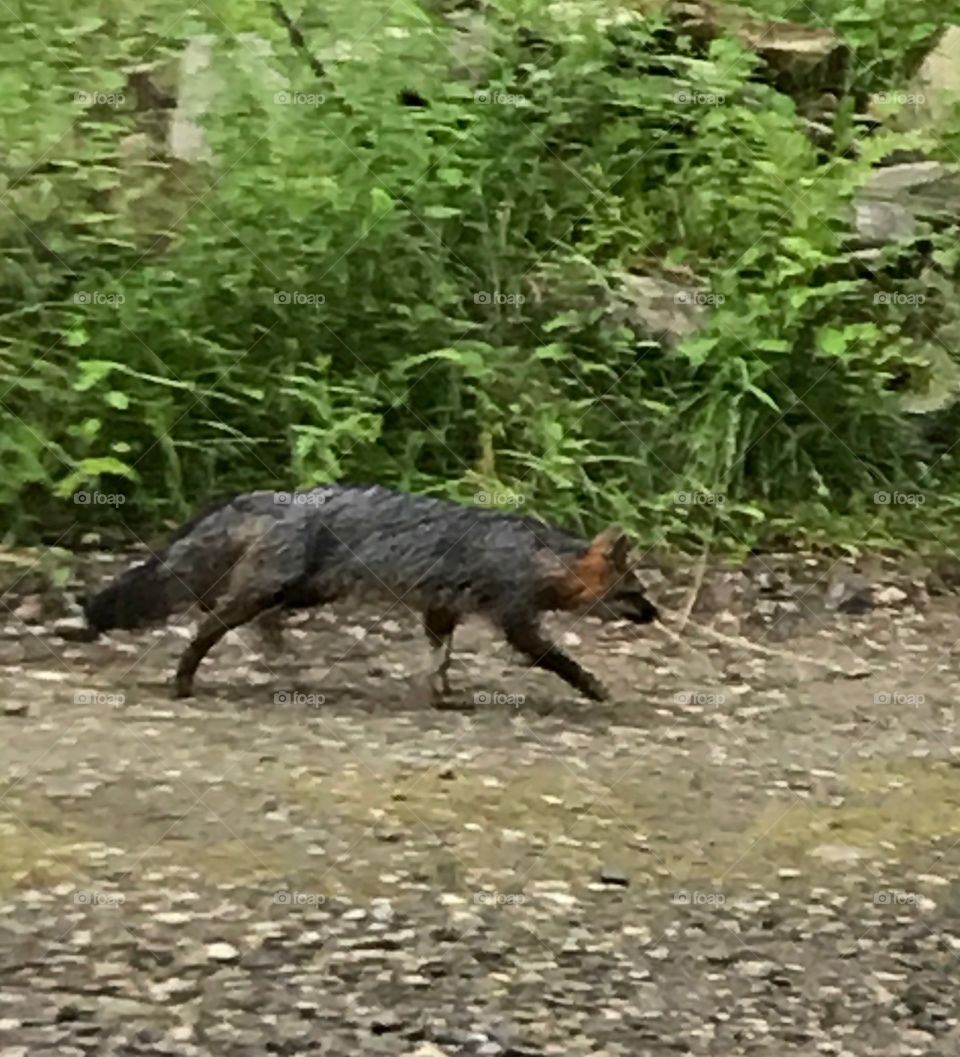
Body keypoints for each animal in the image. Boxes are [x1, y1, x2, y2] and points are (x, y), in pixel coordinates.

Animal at [70, 484, 660, 703]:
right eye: (636, 592)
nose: (656, 615)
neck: (538, 555)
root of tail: (285, 496)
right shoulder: (514, 618)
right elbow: (556, 658)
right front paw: (591, 686)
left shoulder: (440, 609)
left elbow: (440, 658)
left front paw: (442, 694)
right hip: (274, 591)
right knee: (207, 623)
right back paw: (185, 677)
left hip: (300, 594)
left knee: (226, 613)